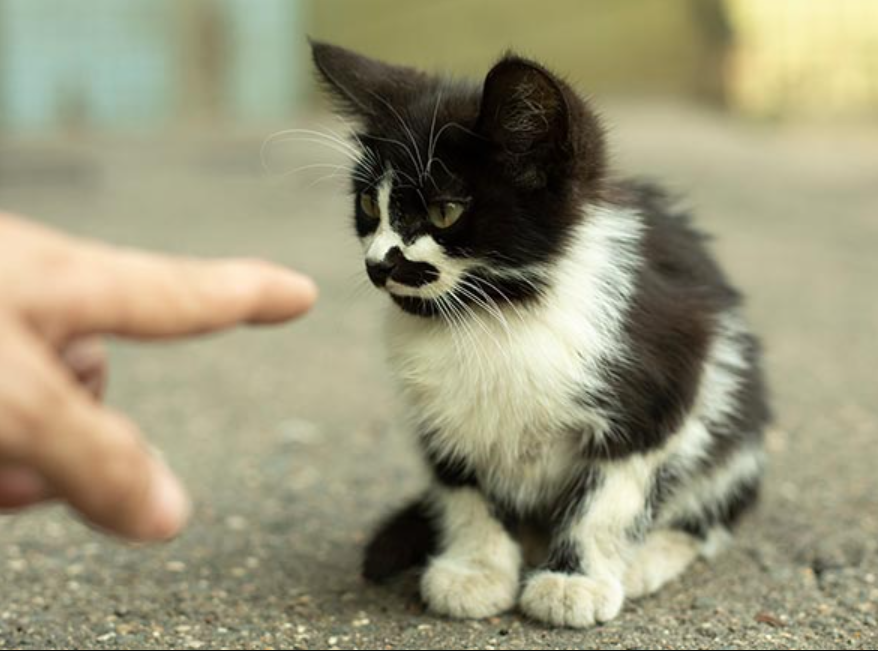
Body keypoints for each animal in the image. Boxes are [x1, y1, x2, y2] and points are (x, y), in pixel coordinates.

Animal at [310, 39, 768, 628]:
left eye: (445, 210)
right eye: (370, 205)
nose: (378, 264)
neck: (497, 312)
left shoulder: (664, 369)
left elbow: (608, 496)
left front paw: (575, 580)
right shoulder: (440, 412)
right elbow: (465, 488)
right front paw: (476, 569)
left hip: (737, 419)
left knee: (708, 511)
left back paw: (650, 557)